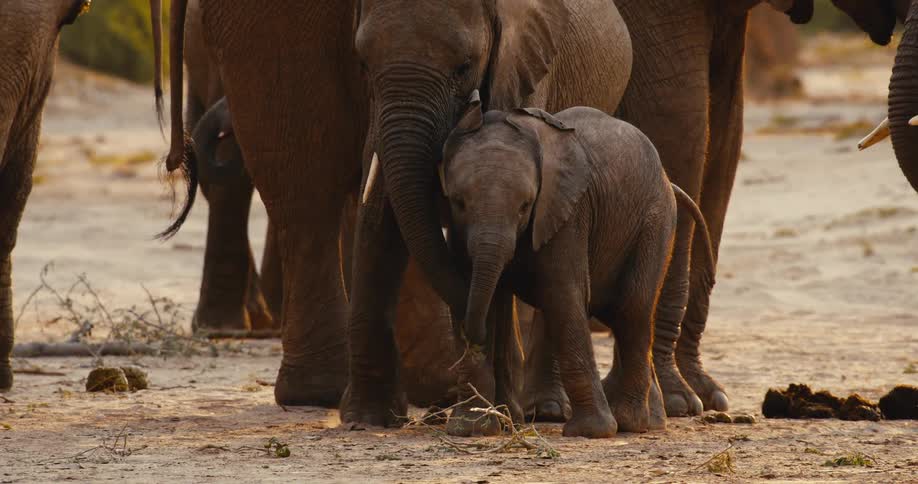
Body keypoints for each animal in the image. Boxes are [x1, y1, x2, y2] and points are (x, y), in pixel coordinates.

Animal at [341, 0, 633, 428]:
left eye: (464, 67)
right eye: (362, 63)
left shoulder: (525, 69)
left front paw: (498, 413)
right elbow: (378, 216)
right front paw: (364, 419)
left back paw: (540, 410)